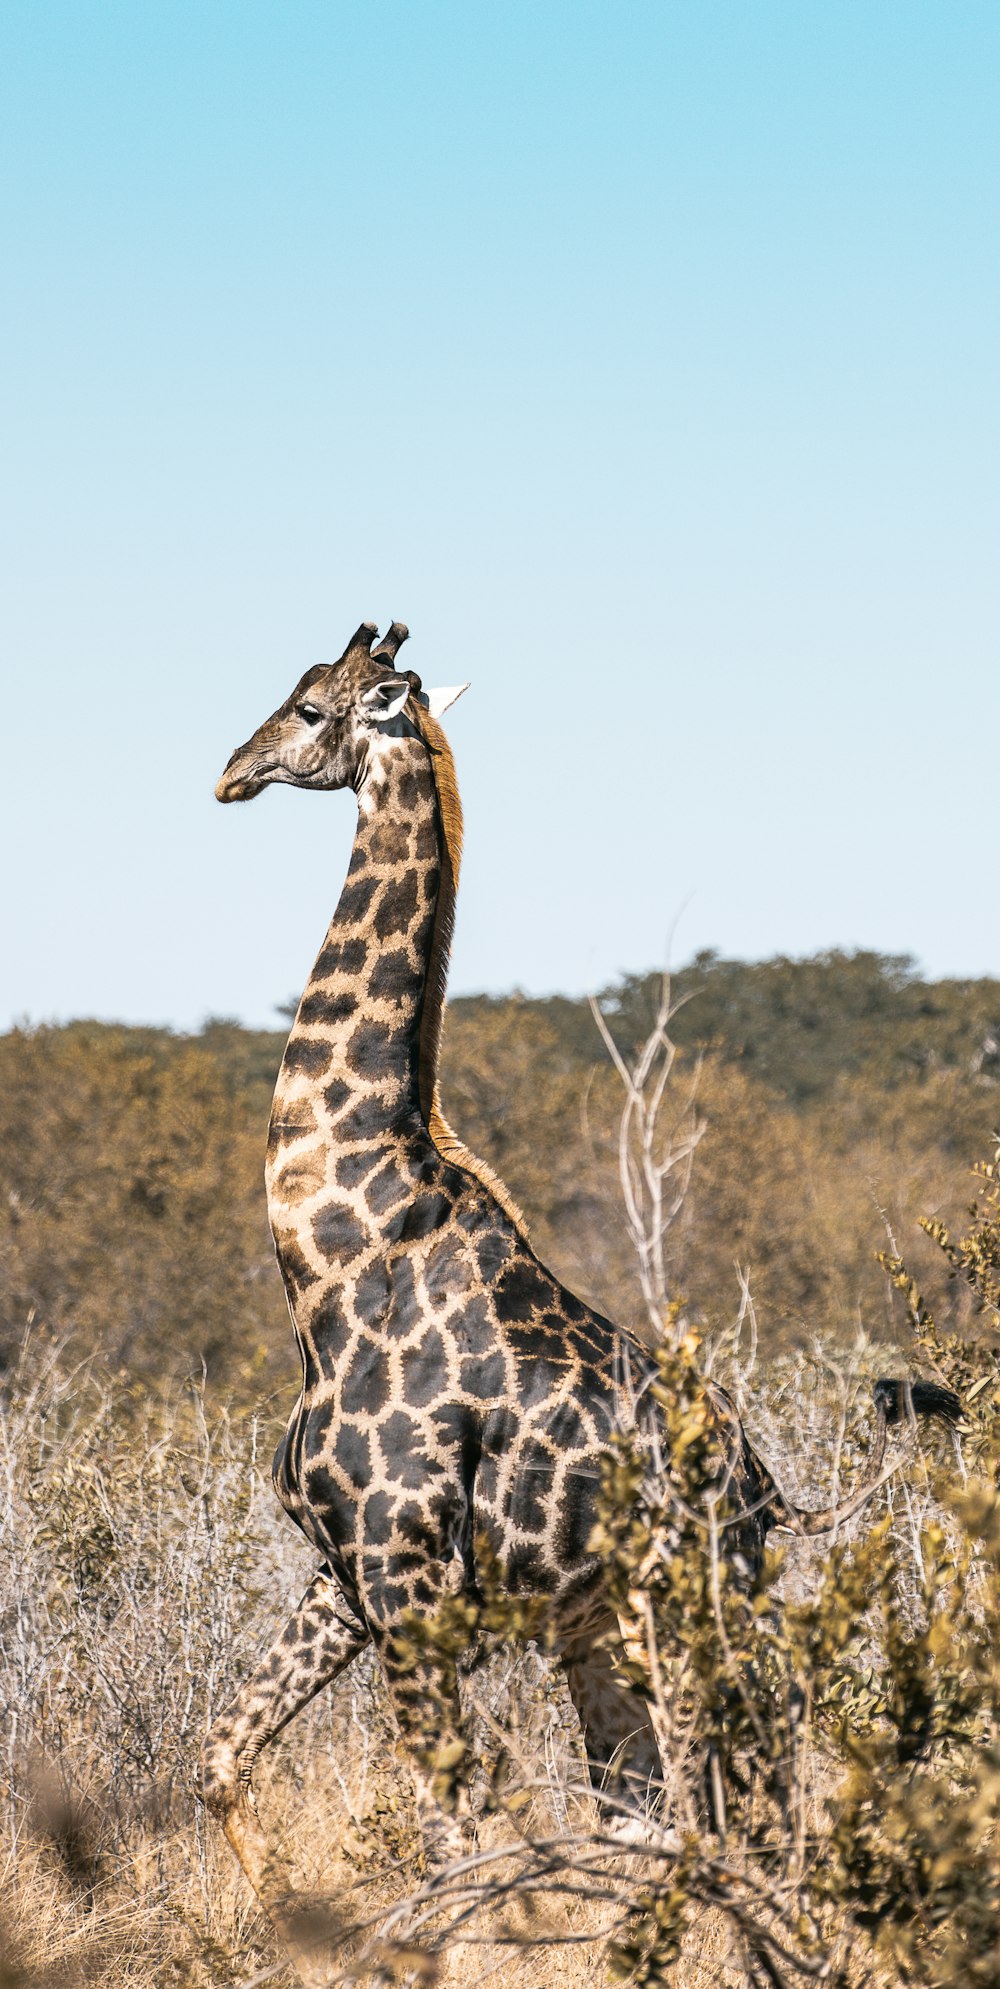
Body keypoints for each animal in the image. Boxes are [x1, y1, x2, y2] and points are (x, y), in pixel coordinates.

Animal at [203, 620, 962, 1973]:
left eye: (309, 707)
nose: (230, 773)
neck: (331, 1257)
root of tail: (767, 1494)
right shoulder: (341, 1573)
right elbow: (224, 1761)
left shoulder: (407, 1582)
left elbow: (457, 1829)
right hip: (598, 1634)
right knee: (661, 1817)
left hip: (690, 1621)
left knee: (744, 1802)